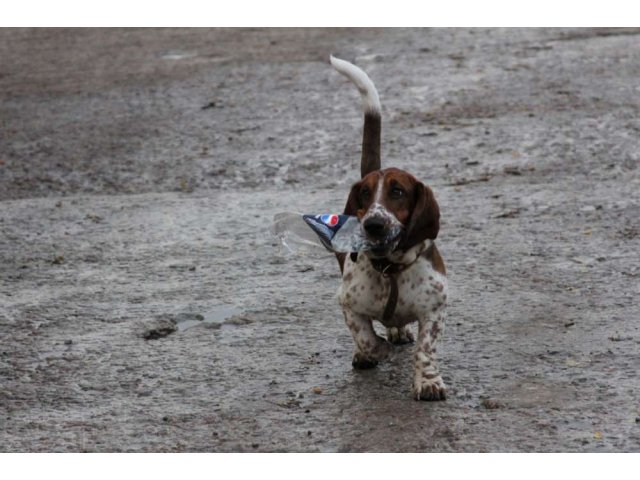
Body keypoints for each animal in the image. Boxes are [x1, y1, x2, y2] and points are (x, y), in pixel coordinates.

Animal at [330, 56, 444, 402]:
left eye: (397, 192)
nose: (374, 224)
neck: (390, 270)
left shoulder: (434, 308)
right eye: (365, 195)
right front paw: (374, 352)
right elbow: (365, 337)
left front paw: (428, 382)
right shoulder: (348, 304)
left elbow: (425, 348)